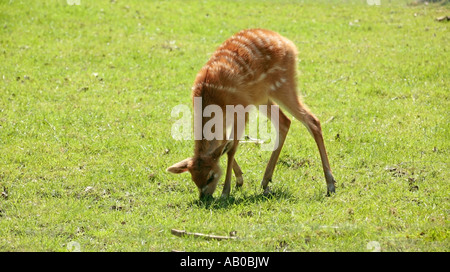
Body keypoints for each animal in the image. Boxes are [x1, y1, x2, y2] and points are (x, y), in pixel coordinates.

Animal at [167, 28, 336, 198]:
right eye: (193, 179)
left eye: (210, 176)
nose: (204, 198)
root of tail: (289, 44)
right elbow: (225, 144)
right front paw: (239, 179)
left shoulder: (241, 111)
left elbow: (231, 148)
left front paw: (226, 191)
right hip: (262, 97)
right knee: (285, 121)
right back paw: (266, 180)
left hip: (283, 84)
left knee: (312, 120)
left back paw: (330, 184)